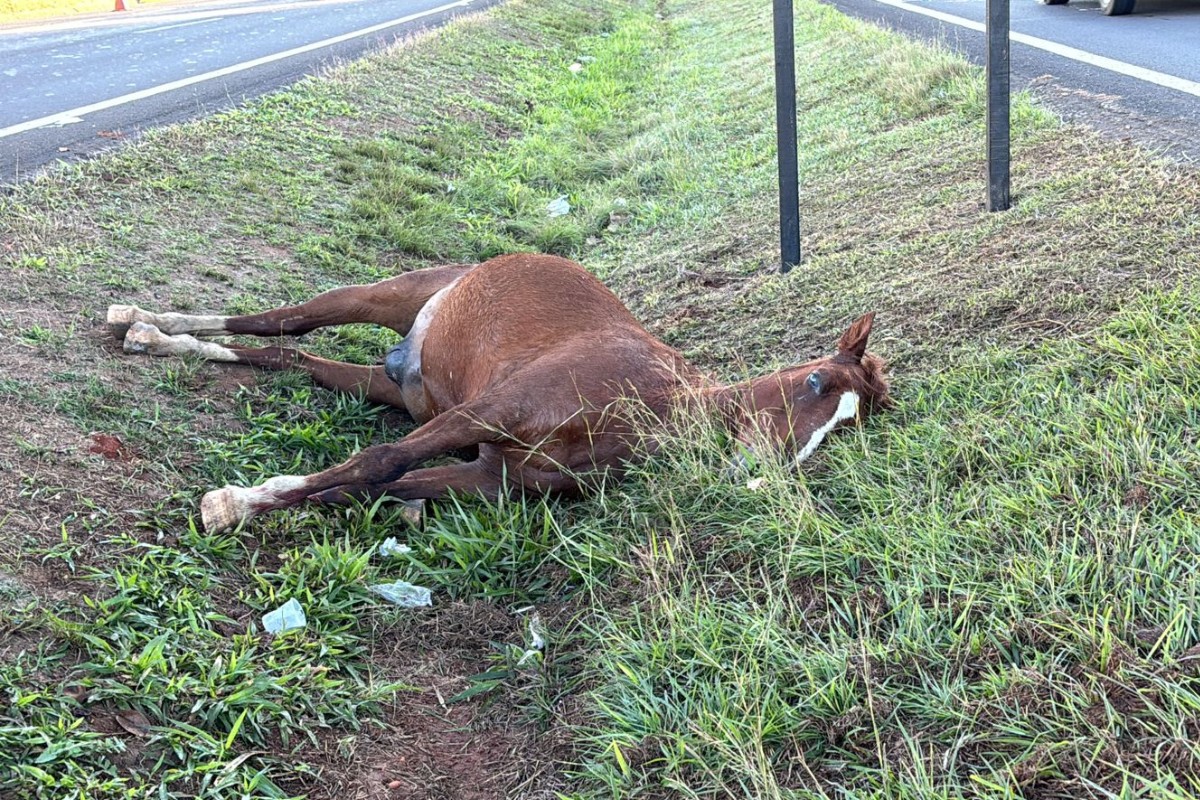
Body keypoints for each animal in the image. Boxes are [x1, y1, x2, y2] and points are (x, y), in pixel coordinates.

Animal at [107, 254, 889, 533]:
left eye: (845, 432)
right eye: (814, 381)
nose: (769, 473)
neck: (646, 401)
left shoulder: (489, 476)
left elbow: (376, 484)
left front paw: (271, 498)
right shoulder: (488, 412)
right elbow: (378, 462)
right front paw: (233, 503)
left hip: (401, 390)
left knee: (291, 353)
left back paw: (164, 338)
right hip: (387, 298)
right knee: (288, 318)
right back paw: (145, 320)